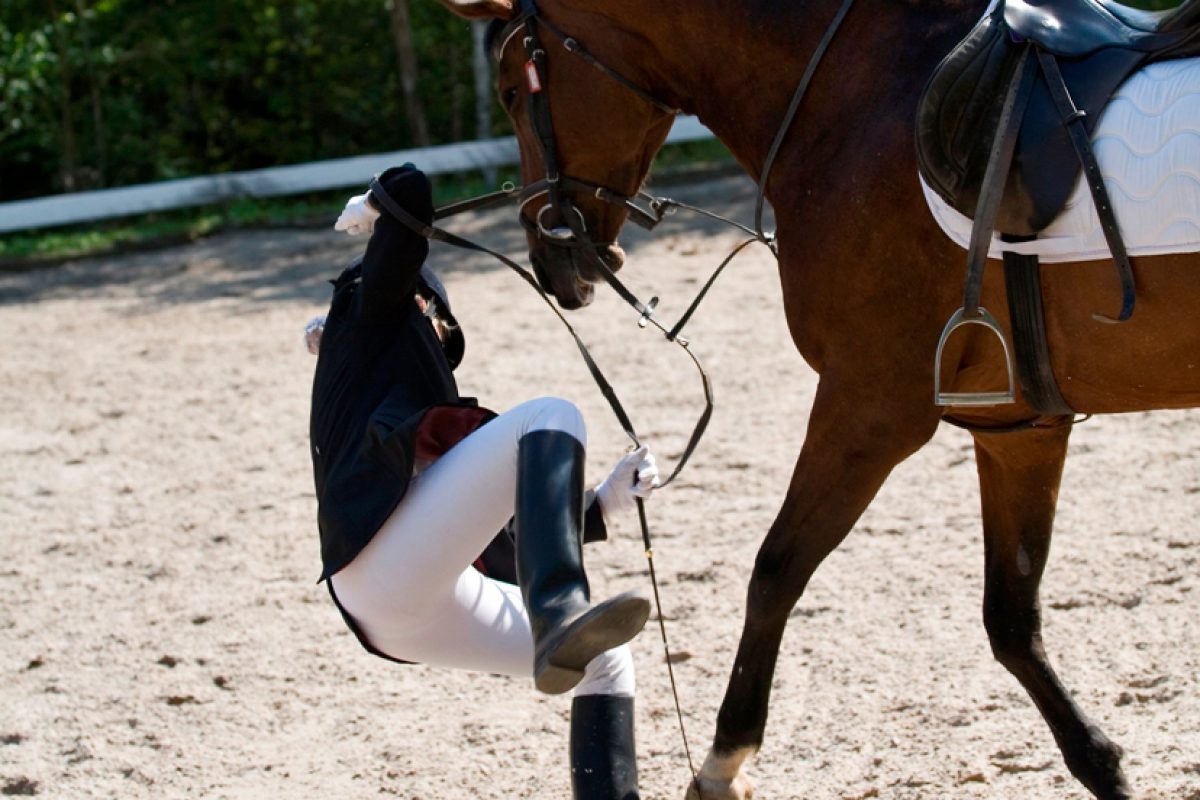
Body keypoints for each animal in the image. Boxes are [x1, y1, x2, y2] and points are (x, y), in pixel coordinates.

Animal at [436, 1, 1195, 800]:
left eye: (513, 91)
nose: (551, 261)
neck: (863, 92)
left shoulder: (871, 405)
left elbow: (777, 569)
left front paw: (723, 763)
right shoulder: (1015, 426)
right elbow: (1012, 618)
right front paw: (1103, 764)